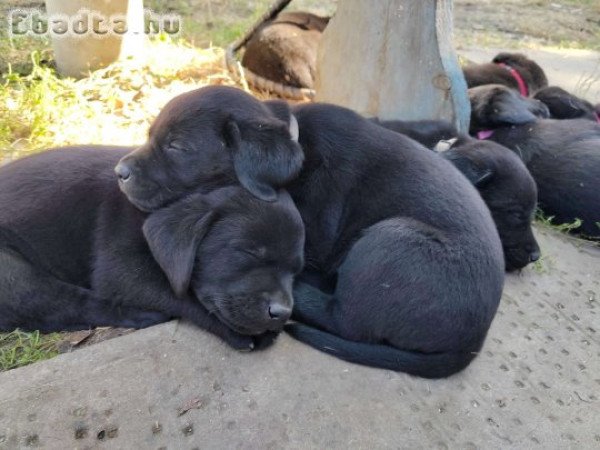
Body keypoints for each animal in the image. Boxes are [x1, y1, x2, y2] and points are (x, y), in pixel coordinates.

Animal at [0, 146, 304, 350]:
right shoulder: (121, 270)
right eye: (249, 252)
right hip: (14, 273)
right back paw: (142, 315)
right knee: (65, 304)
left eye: (295, 271)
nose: (282, 313)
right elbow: (182, 294)